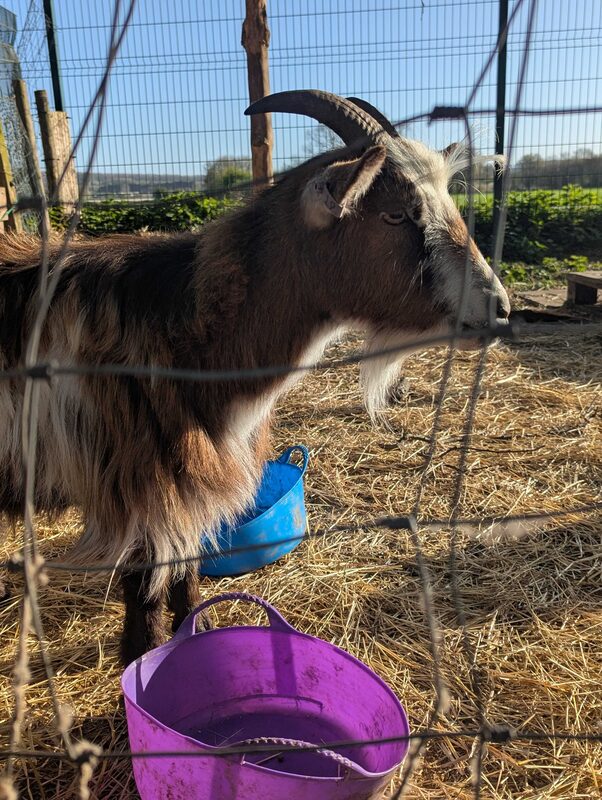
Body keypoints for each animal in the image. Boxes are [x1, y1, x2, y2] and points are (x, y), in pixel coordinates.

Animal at [0, 91, 510, 664]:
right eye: (395, 214)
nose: (498, 309)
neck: (184, 329)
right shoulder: (138, 496)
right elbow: (145, 599)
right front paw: (142, 667)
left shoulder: (190, 492)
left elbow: (186, 579)